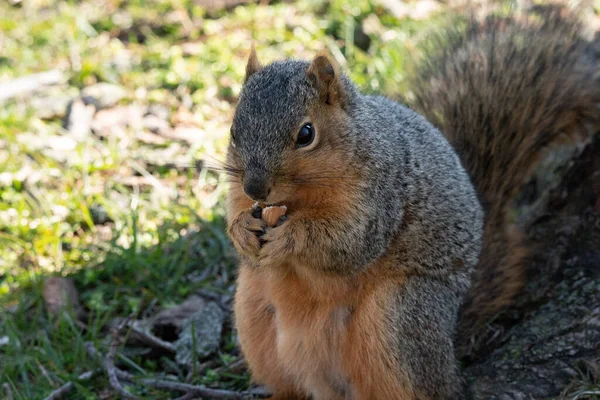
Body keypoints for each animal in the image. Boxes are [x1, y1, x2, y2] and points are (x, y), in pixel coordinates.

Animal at [223, 3, 596, 400]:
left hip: (400, 318)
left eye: (306, 134)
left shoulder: (381, 195)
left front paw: (290, 236)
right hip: (253, 314)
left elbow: (349, 243)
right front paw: (242, 228)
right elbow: (236, 212)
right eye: (233, 131)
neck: (299, 198)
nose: (256, 188)